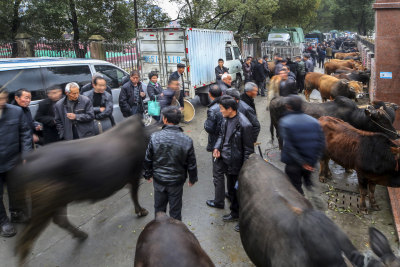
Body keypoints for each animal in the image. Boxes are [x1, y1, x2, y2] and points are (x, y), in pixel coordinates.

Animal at [10, 116, 155, 266]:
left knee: (60, 221)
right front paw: (141, 211)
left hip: (58, 202)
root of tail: (23, 164)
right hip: (43, 208)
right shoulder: (134, 175)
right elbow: (134, 195)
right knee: (25, 241)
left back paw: (81, 235)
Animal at [270, 96, 398, 150]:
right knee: (280, 137)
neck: (353, 115)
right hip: (278, 125)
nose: (396, 135)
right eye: (383, 121)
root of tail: (275, 100)